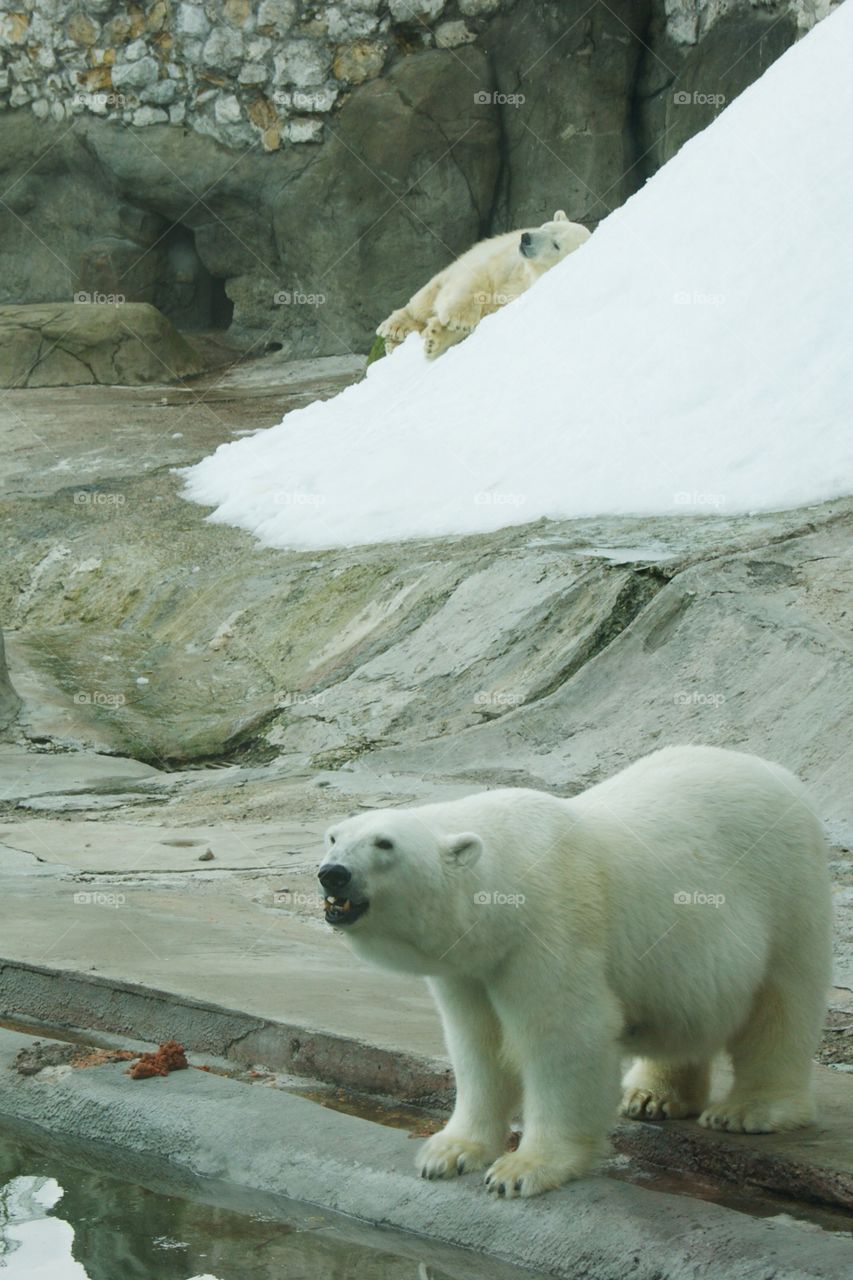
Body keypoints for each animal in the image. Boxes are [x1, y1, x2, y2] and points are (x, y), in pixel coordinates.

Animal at [318, 746, 832, 1199]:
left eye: (385, 843)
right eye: (334, 836)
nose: (332, 873)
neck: (509, 882)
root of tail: (777, 773)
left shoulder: (552, 928)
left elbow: (564, 1037)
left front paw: (521, 1170)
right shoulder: (471, 967)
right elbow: (476, 1044)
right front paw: (447, 1153)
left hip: (785, 889)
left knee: (782, 1003)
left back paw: (748, 1110)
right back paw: (651, 1095)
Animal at [376, 211, 590, 360]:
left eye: (556, 245)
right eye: (545, 226)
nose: (526, 238)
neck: (526, 276)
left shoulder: (515, 295)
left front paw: (435, 338)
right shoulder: (507, 261)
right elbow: (477, 278)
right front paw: (458, 316)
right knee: (425, 297)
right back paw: (394, 328)